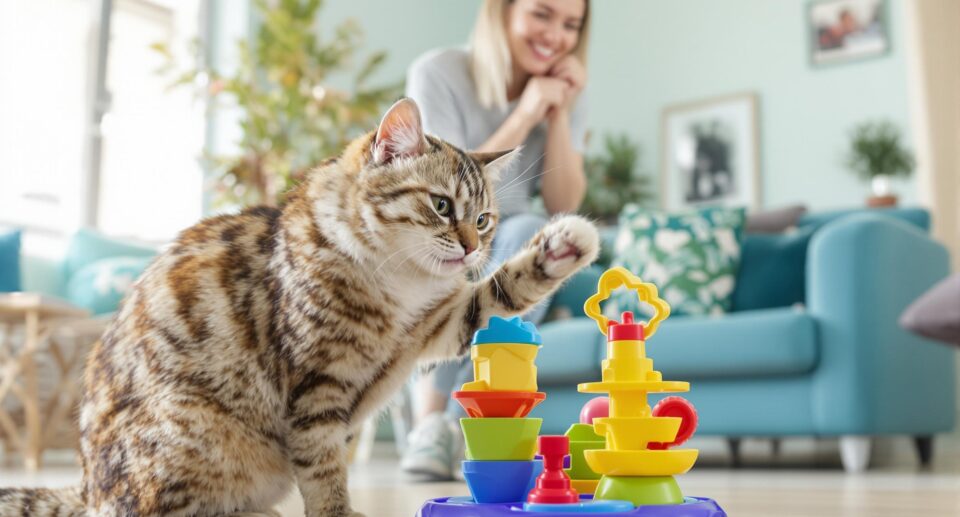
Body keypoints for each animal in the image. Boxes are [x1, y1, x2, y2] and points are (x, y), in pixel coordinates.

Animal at [0, 99, 596, 512]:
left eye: (484, 220)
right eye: (442, 205)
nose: (473, 249)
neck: (399, 286)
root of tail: (85, 489)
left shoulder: (437, 327)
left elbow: (497, 295)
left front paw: (564, 246)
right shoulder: (315, 384)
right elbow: (323, 468)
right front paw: (338, 511)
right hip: (191, 432)